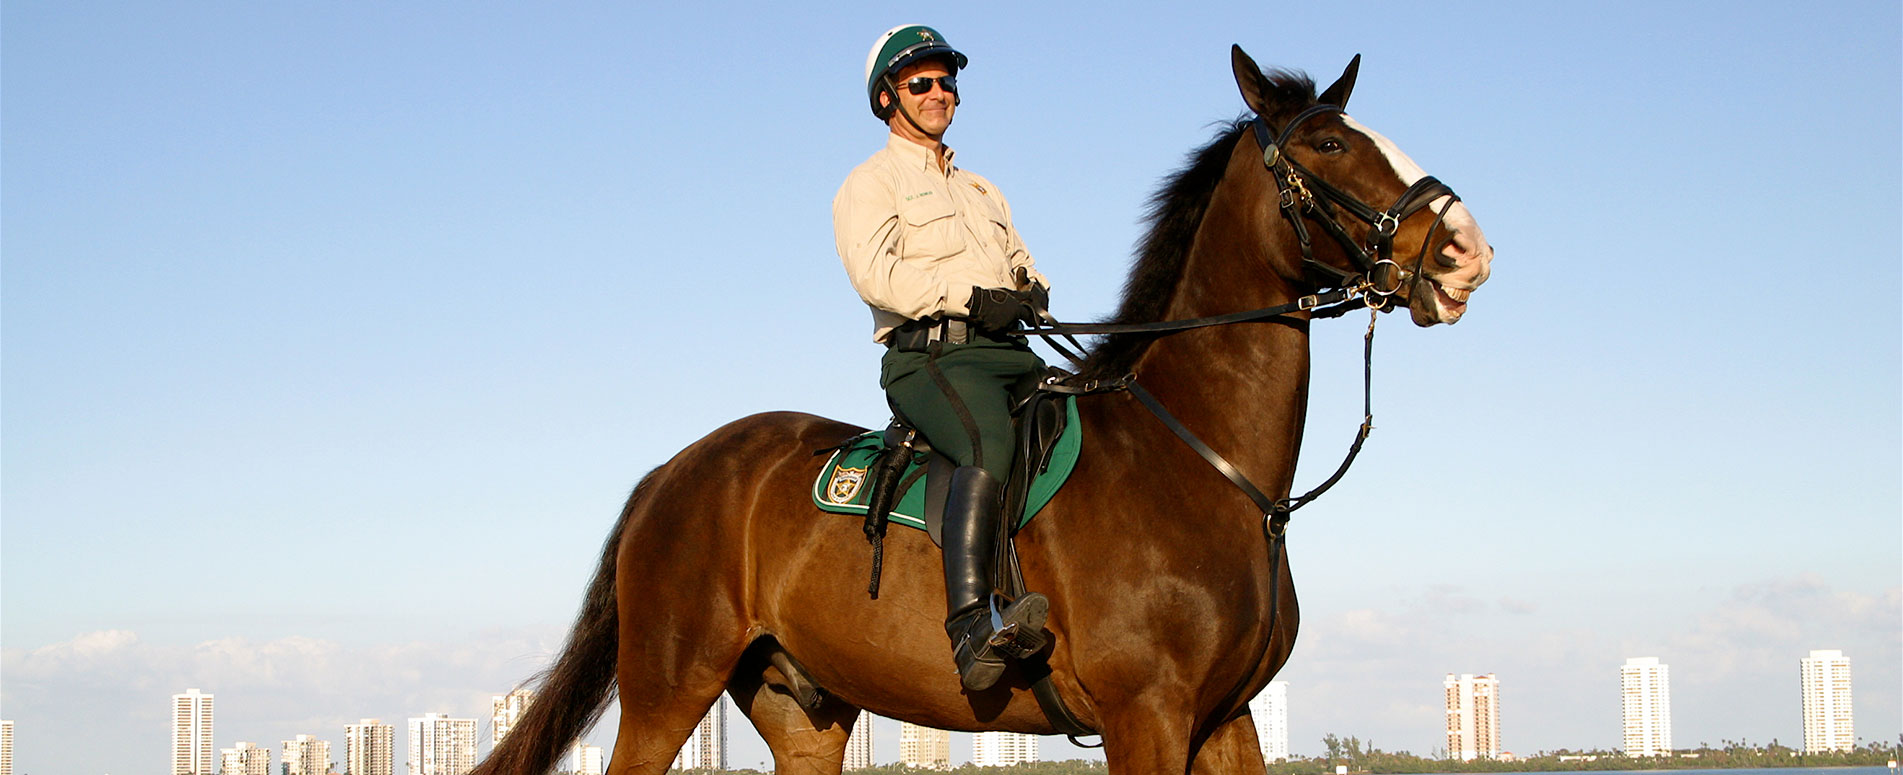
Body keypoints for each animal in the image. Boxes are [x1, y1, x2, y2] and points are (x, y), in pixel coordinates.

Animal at [471, 47, 1484, 775]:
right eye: (1329, 146)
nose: (1462, 249)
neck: (1199, 463)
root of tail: (673, 470)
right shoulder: (1147, 715)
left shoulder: (1225, 718)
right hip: (667, 685)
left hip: (805, 711)